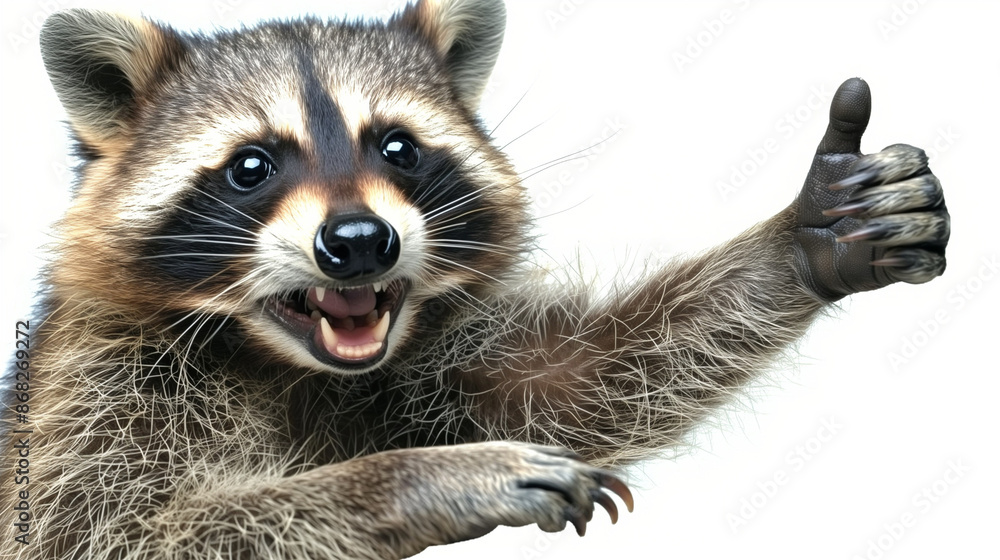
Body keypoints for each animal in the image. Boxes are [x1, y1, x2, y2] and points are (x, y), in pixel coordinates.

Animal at [3, 0, 950, 558]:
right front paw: (412, 480)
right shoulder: (99, 384)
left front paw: (805, 239)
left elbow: (574, 379)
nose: (360, 243)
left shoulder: (423, 360)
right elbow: (128, 535)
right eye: (250, 167)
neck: (290, 361)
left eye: (397, 147)